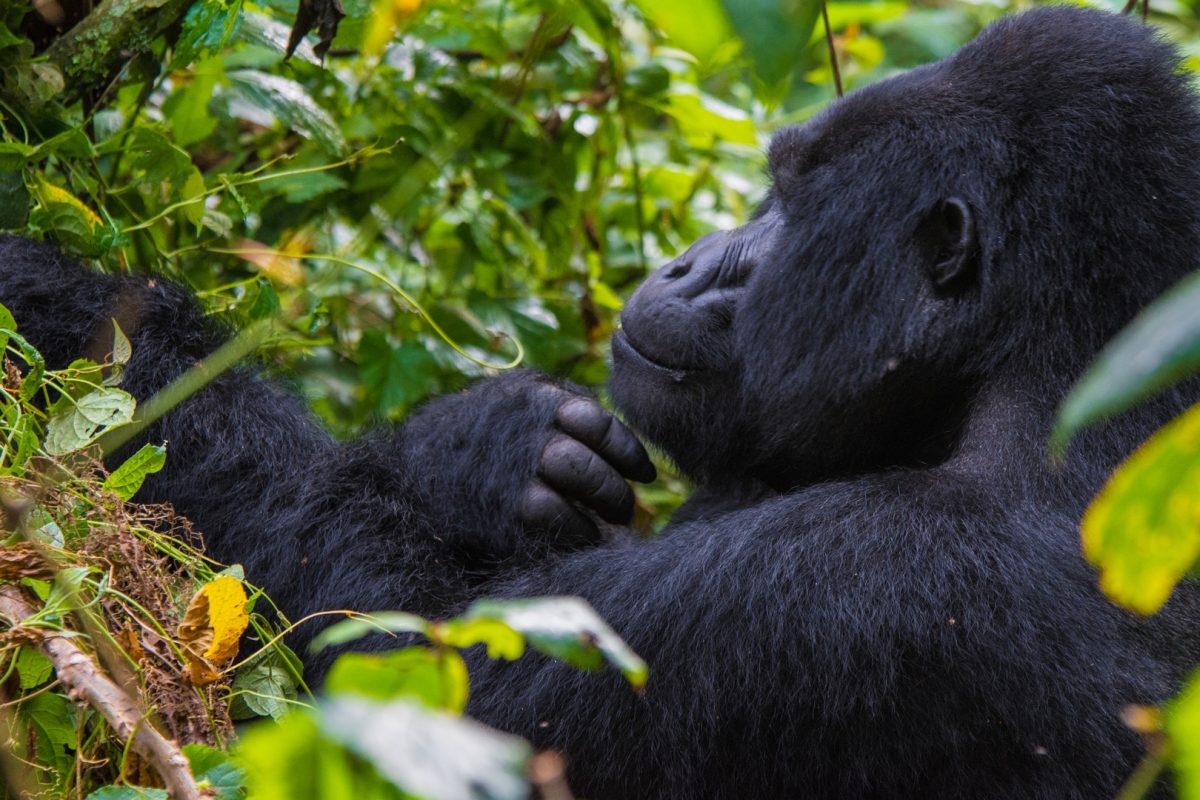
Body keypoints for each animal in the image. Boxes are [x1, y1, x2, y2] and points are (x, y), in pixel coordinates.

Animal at [2, 7, 1200, 800]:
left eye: (791, 197)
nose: (692, 264)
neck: (1049, 381)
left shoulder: (890, 580)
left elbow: (406, 676)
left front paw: (45, 295)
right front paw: (494, 451)